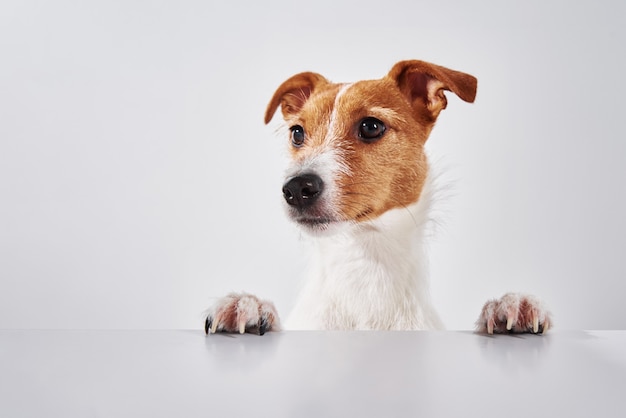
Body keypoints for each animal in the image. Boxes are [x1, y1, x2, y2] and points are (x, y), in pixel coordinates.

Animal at [202, 58, 548, 334]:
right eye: (297, 133)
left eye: (371, 126)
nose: (296, 189)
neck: (364, 264)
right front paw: (247, 305)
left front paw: (508, 307)